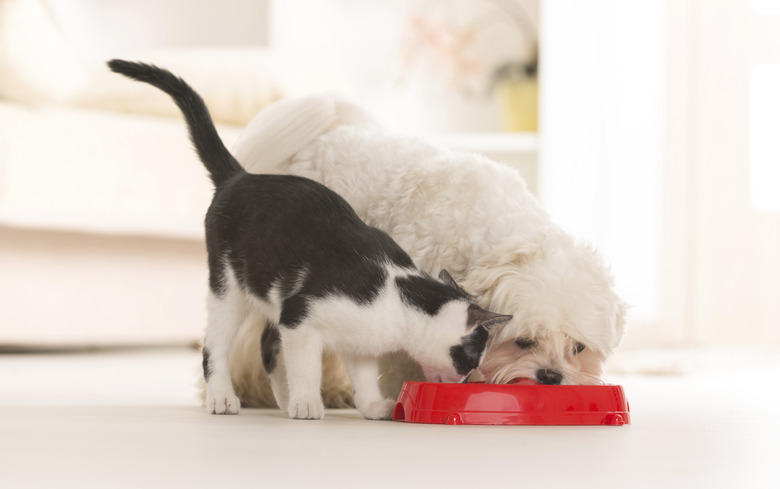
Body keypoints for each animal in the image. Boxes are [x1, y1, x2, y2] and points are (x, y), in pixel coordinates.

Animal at [108, 60, 512, 420]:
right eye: (471, 359)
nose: (466, 382)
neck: (397, 297)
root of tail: (241, 176)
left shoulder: (356, 342)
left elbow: (363, 375)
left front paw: (370, 406)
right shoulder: (300, 318)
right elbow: (305, 365)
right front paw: (307, 402)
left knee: (266, 346)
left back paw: (283, 400)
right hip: (228, 287)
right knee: (215, 346)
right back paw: (225, 398)